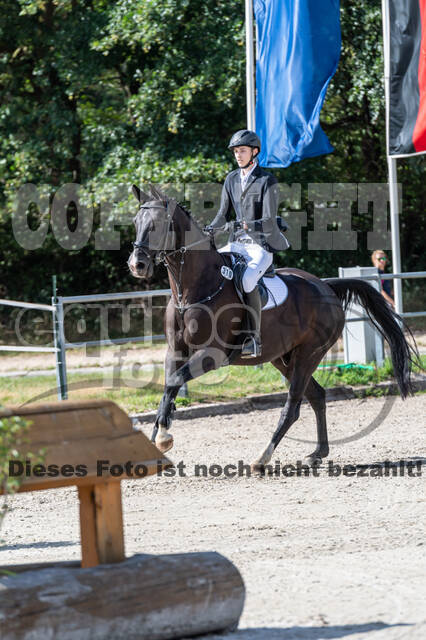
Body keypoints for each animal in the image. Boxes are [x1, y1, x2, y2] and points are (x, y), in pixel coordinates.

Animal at [128, 184, 417, 473]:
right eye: (136, 222)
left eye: (157, 224)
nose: (137, 264)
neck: (191, 290)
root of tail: (326, 287)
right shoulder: (175, 350)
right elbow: (169, 386)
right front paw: (157, 439)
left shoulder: (213, 354)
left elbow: (174, 381)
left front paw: (163, 437)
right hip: (283, 358)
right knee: (317, 396)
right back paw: (317, 453)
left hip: (308, 355)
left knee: (293, 406)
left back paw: (263, 457)